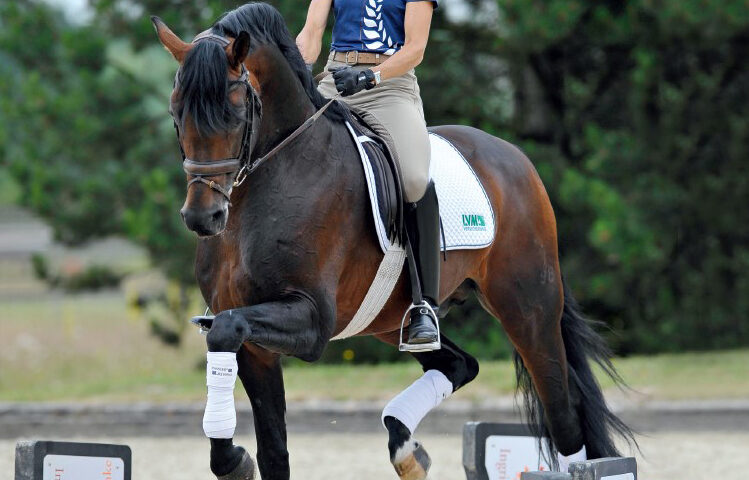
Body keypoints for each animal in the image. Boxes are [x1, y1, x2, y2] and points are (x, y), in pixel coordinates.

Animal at [150, 3, 632, 480]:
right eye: (176, 114)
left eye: (233, 113)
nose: (202, 217)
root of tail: (513, 157)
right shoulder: (254, 344)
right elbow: (271, 448)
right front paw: (232, 459)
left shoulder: (311, 318)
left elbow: (226, 329)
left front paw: (233, 459)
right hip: (390, 318)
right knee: (461, 364)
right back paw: (404, 446)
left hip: (528, 308)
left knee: (563, 416)